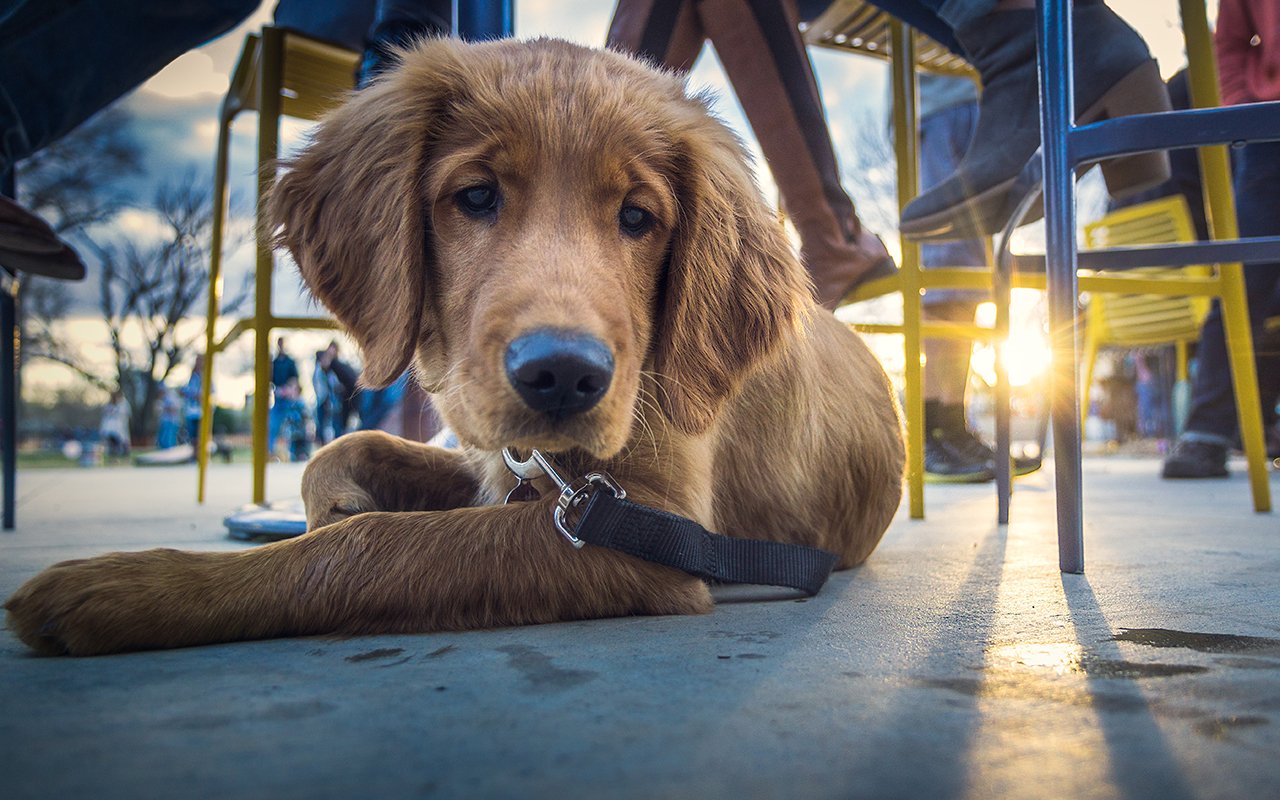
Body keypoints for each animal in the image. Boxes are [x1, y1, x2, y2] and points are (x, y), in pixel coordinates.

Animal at [5, 37, 901, 655]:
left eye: (638, 218)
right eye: (475, 196)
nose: (563, 376)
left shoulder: (650, 523)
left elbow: (371, 549)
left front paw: (135, 586)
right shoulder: (501, 460)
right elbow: (346, 448)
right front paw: (335, 502)